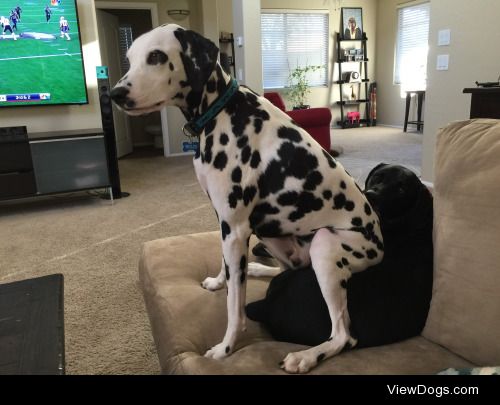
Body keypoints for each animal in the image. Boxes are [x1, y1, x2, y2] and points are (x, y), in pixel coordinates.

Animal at [109, 24, 382, 372]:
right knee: (287, 269)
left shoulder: (235, 229)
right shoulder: (226, 226)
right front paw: (217, 281)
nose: (115, 94)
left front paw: (225, 348)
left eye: (156, 56)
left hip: (324, 246)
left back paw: (305, 356)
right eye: (130, 59)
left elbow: (234, 306)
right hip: (272, 233)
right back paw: (257, 269)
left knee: (343, 335)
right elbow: (228, 272)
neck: (221, 112)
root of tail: (380, 245)